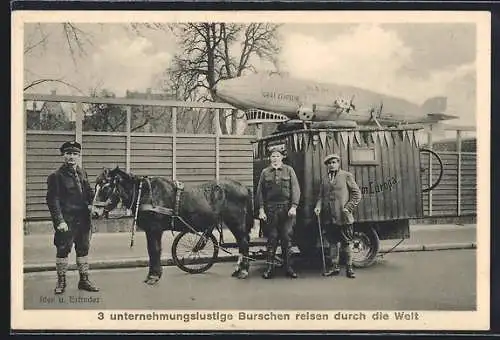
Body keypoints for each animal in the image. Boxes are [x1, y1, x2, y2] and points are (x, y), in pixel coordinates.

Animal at [94, 167, 254, 284]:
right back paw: (239, 269)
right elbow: (153, 250)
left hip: (236, 222)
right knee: (242, 244)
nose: (94, 212)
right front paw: (155, 274)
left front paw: (153, 276)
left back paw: (243, 271)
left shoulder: (154, 229)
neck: (145, 193)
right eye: (96, 186)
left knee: (244, 243)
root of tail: (244, 187)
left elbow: (154, 250)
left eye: (106, 187)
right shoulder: (151, 230)